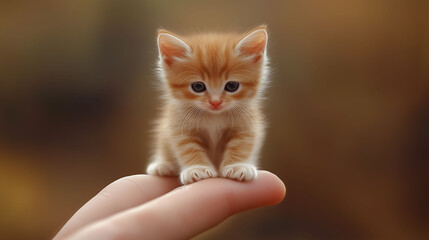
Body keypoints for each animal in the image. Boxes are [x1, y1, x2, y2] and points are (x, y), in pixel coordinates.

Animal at [145, 25, 270, 184]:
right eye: (198, 86)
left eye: (232, 86)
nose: (215, 102)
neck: (214, 117)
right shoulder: (179, 125)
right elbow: (188, 147)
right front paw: (197, 168)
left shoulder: (246, 124)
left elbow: (241, 144)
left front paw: (237, 166)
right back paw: (163, 165)